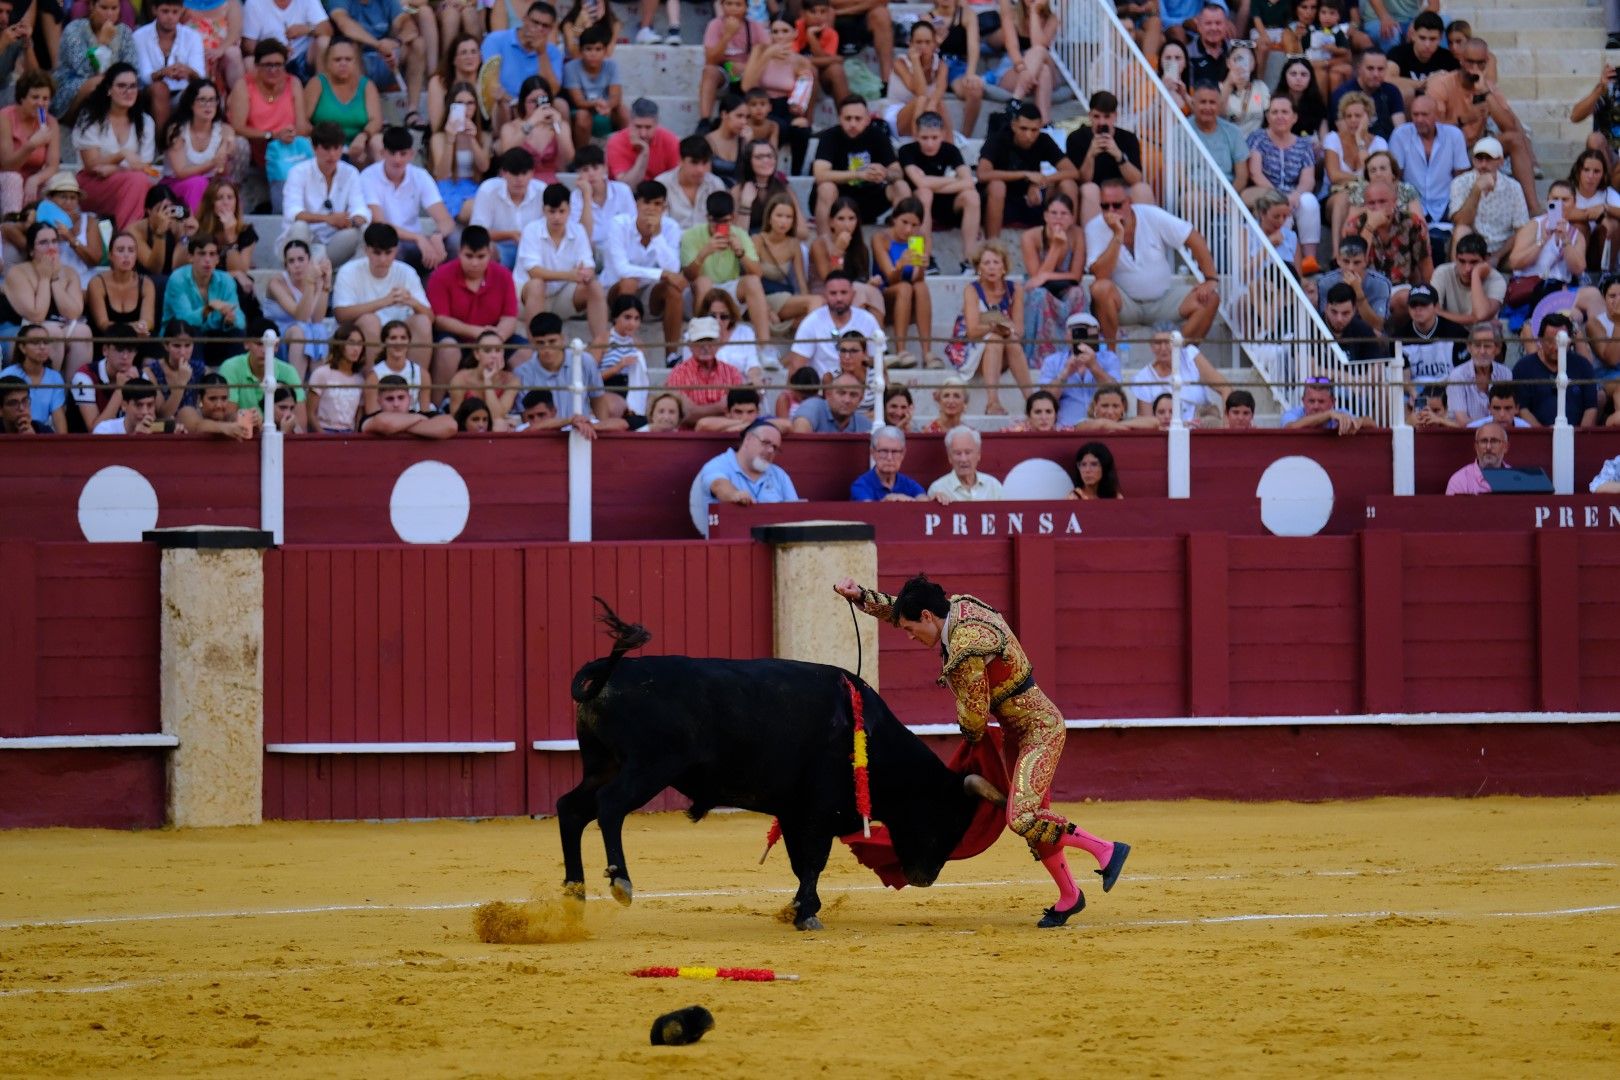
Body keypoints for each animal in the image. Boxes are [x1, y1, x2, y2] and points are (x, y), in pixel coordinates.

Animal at [563, 608, 978, 932]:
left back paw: (574, 895)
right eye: (947, 817)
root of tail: (612, 671)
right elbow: (813, 861)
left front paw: (801, 910)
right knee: (609, 806)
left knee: (571, 810)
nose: (925, 878)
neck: (867, 734)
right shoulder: (819, 811)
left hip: (603, 765)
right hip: (648, 768)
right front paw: (806, 913)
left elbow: (801, 863)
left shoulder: (795, 811)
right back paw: (620, 882)